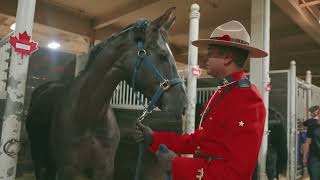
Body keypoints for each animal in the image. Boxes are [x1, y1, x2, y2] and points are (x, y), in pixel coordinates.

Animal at [27, 8, 188, 180]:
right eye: (163, 54)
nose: (184, 105)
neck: (89, 116)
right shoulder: (70, 170)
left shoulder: (105, 169)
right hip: (40, 159)